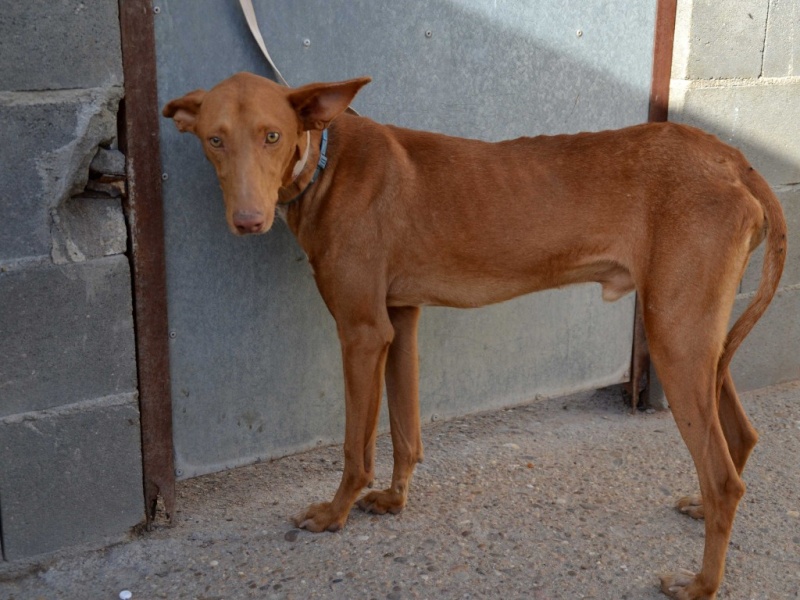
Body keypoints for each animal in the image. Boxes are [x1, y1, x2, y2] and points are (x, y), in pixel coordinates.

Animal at [164, 74, 788, 600]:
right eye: (215, 140)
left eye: (272, 135)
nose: (248, 221)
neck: (325, 161)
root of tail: (732, 158)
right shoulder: (400, 319)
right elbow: (406, 431)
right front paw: (394, 500)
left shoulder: (362, 331)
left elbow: (355, 448)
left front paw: (334, 514)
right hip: (698, 340)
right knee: (741, 436)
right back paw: (700, 512)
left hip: (673, 337)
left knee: (725, 480)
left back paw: (700, 584)